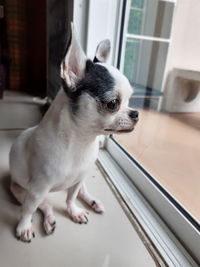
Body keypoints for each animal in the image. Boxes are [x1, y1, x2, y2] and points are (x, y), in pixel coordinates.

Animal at [8, 24, 138, 243]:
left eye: (130, 99)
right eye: (113, 104)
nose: (136, 113)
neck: (80, 142)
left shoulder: (77, 180)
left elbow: (71, 198)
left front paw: (74, 211)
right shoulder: (36, 190)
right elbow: (28, 210)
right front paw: (24, 226)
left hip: (78, 180)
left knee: (80, 191)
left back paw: (91, 201)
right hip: (20, 190)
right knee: (44, 205)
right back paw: (49, 220)